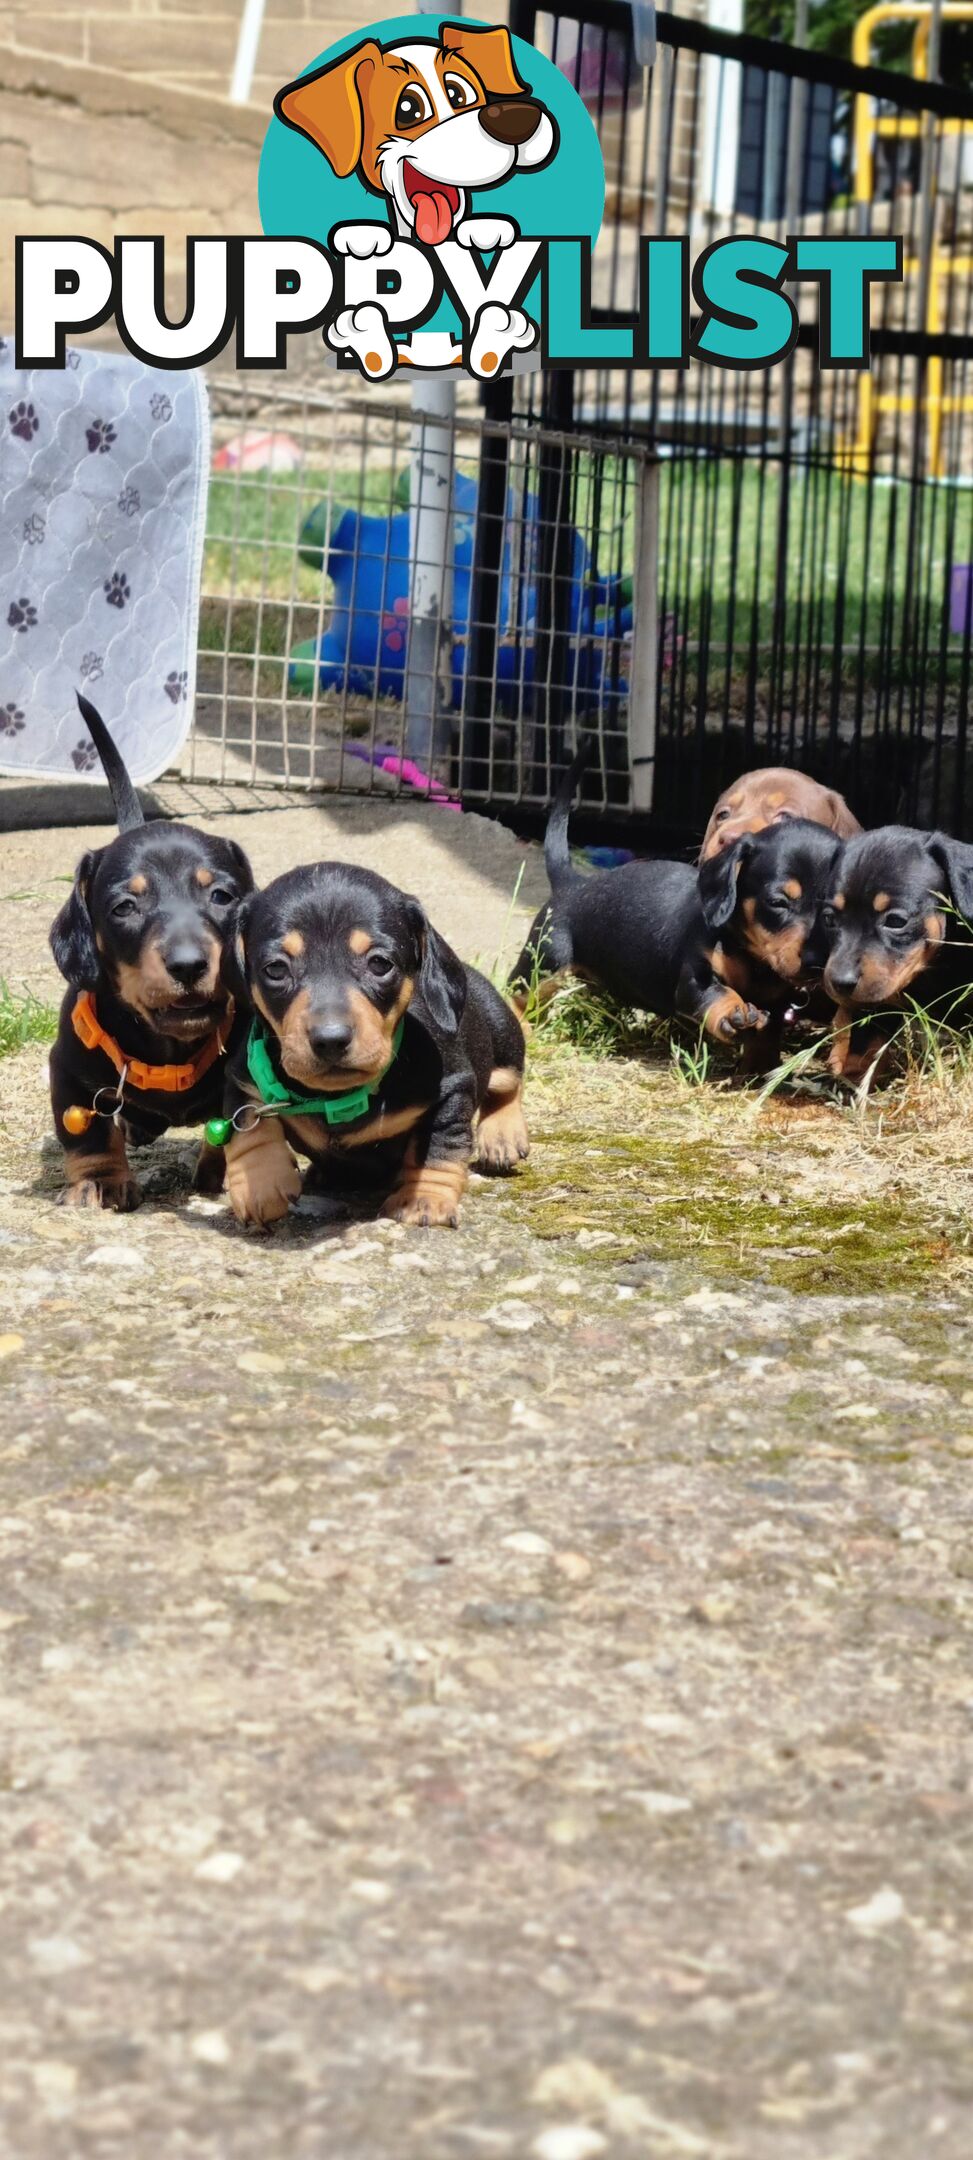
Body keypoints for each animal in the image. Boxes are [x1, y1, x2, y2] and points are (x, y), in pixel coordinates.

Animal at [47, 699, 252, 1209]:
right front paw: (99, 1181)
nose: (189, 965)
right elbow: (88, 1135)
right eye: (125, 907)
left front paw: (224, 1175)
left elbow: (237, 1127)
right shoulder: (68, 1071)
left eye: (222, 896)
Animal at [217, 859, 527, 1235]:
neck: (339, 1097)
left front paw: (425, 1199)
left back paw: (503, 1135)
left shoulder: (453, 1090)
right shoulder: (242, 1077)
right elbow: (250, 1125)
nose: (330, 1039)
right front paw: (260, 1186)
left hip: (503, 1032)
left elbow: (439, 1145)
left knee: (509, 1083)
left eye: (380, 964)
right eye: (275, 969)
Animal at [510, 756, 834, 1067]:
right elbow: (716, 993)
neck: (752, 957)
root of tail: (572, 884)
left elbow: (765, 1037)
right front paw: (734, 1012)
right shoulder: (695, 977)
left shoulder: (776, 1002)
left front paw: (761, 1071)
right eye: (778, 902)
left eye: (832, 912)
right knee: (518, 993)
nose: (816, 964)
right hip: (546, 962)